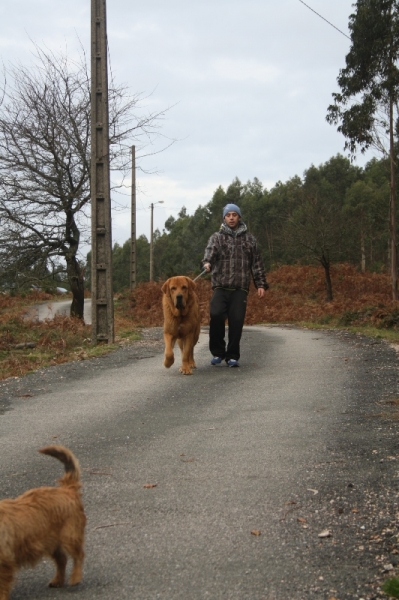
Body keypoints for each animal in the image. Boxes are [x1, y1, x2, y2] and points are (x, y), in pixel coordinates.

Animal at [0, 442, 86, 596]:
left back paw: (75, 577)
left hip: (70, 536)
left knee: (78, 555)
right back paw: (58, 580)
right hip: (52, 542)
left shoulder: (4, 564)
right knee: (62, 559)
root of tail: (67, 489)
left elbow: (2, 587)